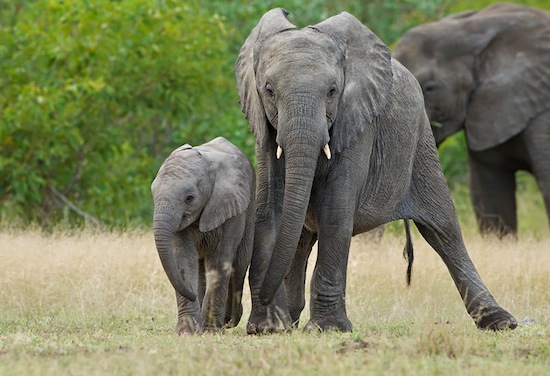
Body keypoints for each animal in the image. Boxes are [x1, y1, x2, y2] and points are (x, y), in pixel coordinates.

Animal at [150, 136, 256, 334]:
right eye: (153, 194)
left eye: (189, 198)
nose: (191, 296)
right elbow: (182, 260)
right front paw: (187, 332)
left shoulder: (230, 206)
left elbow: (220, 261)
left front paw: (212, 331)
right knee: (200, 267)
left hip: (250, 207)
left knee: (239, 263)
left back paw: (230, 320)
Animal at [236, 8, 516, 332]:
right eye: (268, 91)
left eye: (332, 91)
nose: (266, 299)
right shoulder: (264, 129)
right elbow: (270, 207)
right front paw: (268, 328)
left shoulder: (359, 121)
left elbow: (336, 210)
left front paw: (328, 329)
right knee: (302, 236)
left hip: (421, 144)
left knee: (444, 231)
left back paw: (501, 321)